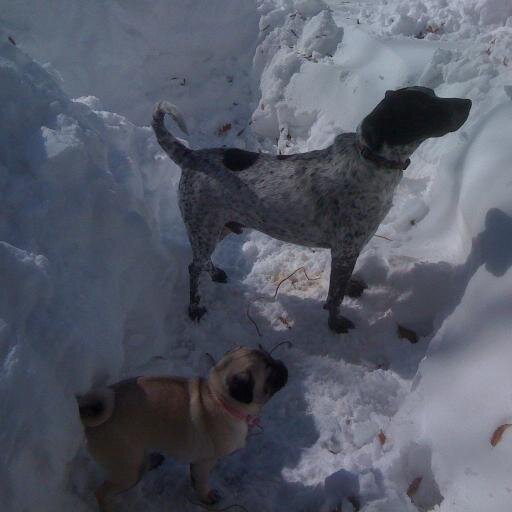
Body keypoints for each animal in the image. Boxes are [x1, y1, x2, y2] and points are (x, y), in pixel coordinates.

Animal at [152, 87, 472, 332]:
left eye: (433, 94)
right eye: (424, 106)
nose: (468, 103)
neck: (370, 160)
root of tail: (191, 157)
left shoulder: (349, 251)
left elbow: (341, 287)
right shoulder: (345, 250)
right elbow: (335, 297)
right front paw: (335, 323)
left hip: (221, 226)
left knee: (202, 261)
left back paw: (216, 273)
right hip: (204, 227)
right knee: (193, 266)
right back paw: (195, 307)